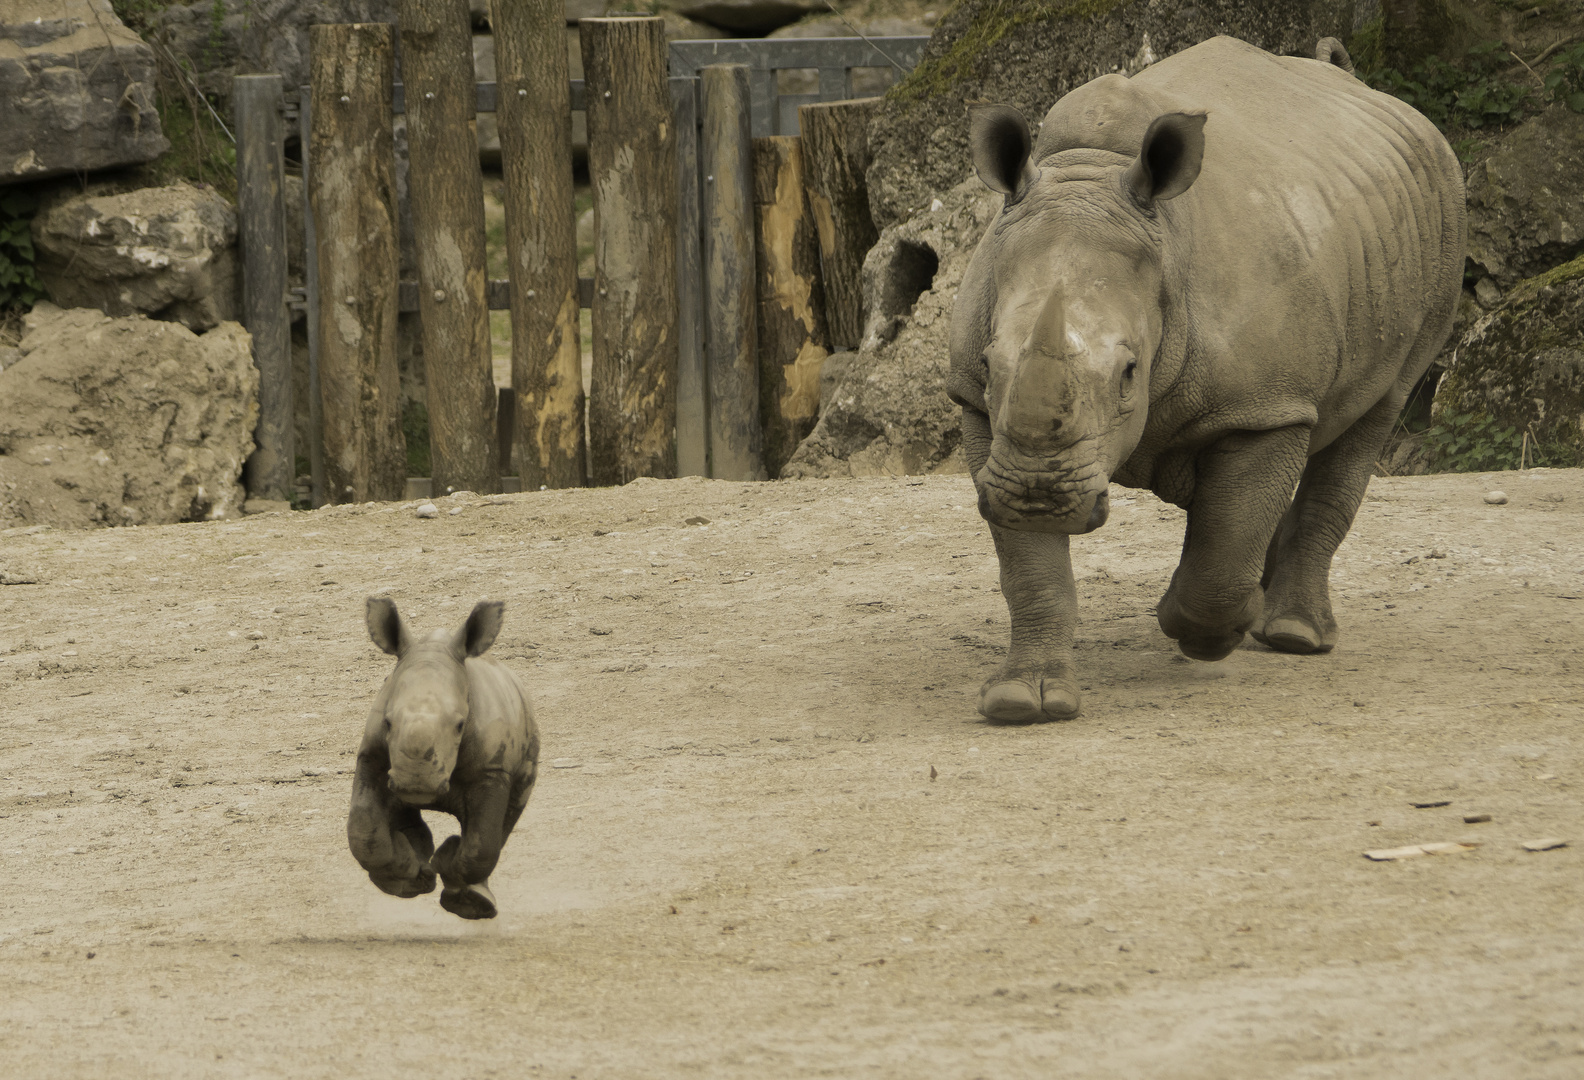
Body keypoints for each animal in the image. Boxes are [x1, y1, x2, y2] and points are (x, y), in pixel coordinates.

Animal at [346, 598, 538, 918]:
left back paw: (475, 902)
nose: (417, 785)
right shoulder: (373, 756)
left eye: (460, 725)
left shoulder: (492, 768)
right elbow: (363, 830)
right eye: (387, 722)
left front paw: (456, 885)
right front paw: (406, 881)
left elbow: (482, 843)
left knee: (507, 817)